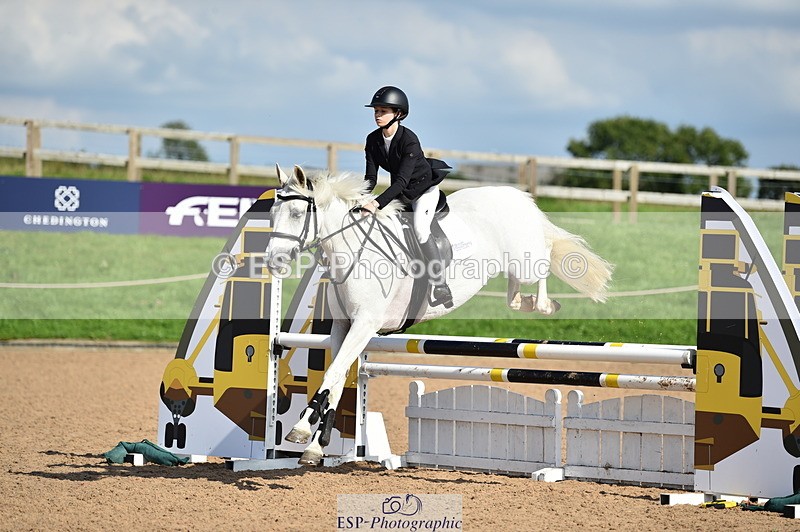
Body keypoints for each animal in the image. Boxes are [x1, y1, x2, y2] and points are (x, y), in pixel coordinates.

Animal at [265, 164, 613, 465]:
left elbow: (333, 374)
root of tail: (514, 194)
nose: (272, 261)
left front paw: (300, 430)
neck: (352, 250)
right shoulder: (343, 326)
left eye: (296, 214)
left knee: (542, 260)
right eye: (271, 214)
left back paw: (544, 305)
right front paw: (313, 447)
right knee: (515, 292)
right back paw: (525, 302)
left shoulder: (365, 324)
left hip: (524, 258)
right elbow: (335, 378)